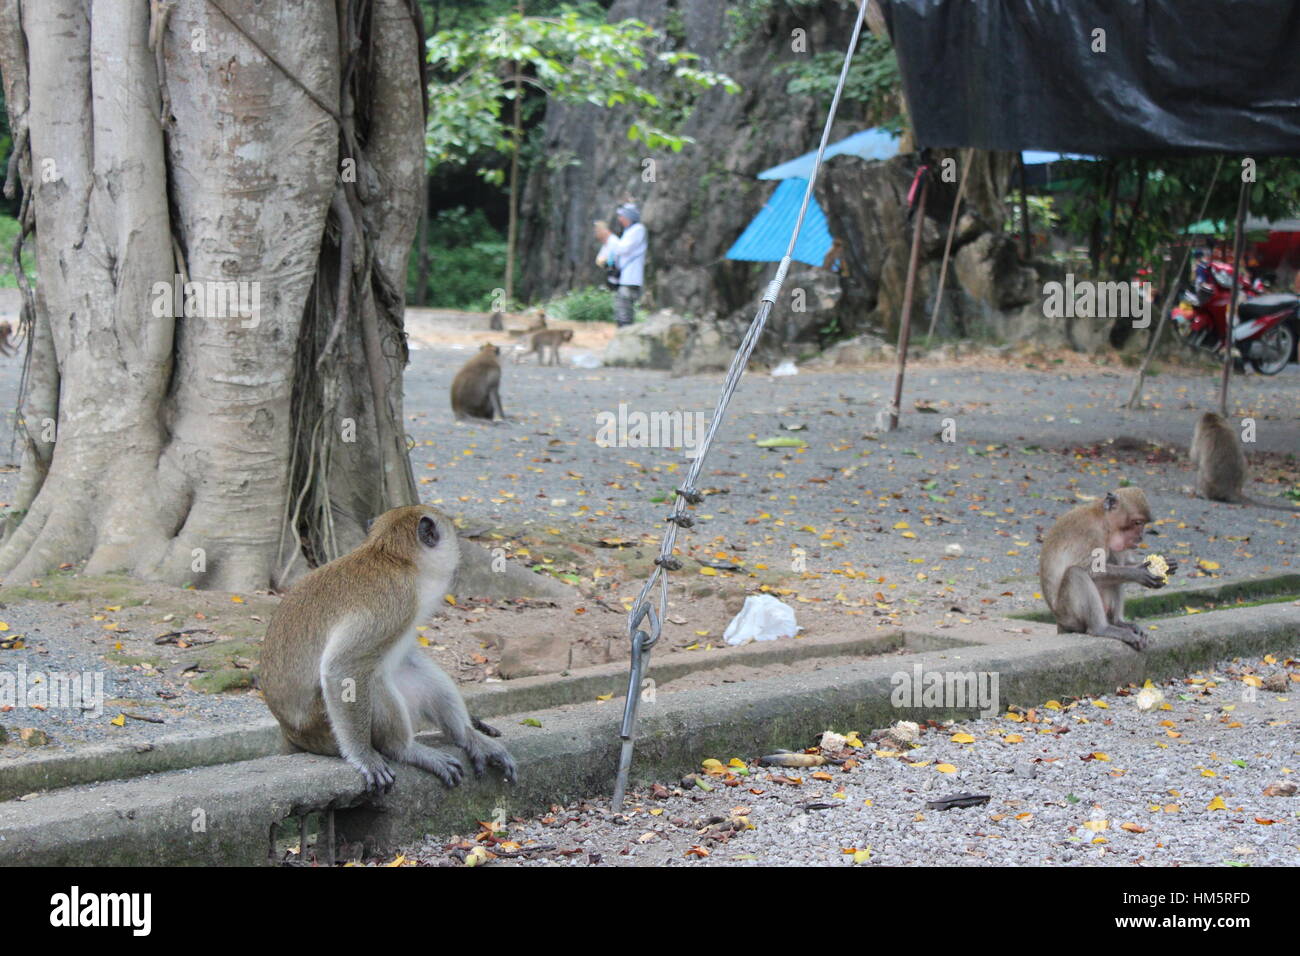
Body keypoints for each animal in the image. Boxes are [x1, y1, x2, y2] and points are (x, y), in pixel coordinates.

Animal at [260, 505, 517, 793]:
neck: (397, 560)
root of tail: (290, 732)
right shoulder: (397, 599)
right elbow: (343, 669)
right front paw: (363, 756)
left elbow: (406, 657)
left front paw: (472, 726)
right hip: (322, 727)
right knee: (371, 679)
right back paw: (403, 749)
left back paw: (466, 736)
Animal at [1038, 488, 1176, 651]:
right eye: (1137, 522)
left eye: (1143, 524)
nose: (1141, 537)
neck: (1104, 521)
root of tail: (1059, 622)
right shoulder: (1091, 533)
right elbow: (1089, 569)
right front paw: (1139, 573)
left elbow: (1123, 563)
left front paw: (1167, 564)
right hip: (1067, 614)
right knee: (1075, 573)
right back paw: (1101, 628)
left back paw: (1118, 622)